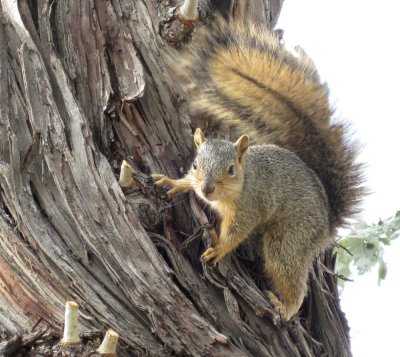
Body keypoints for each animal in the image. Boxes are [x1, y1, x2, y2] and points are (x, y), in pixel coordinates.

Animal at [152, 18, 364, 322]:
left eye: (231, 169)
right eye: (195, 164)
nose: (207, 189)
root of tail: (327, 221)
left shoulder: (249, 208)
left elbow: (236, 233)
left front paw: (218, 248)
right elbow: (184, 183)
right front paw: (175, 183)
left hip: (290, 237)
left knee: (290, 274)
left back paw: (285, 307)